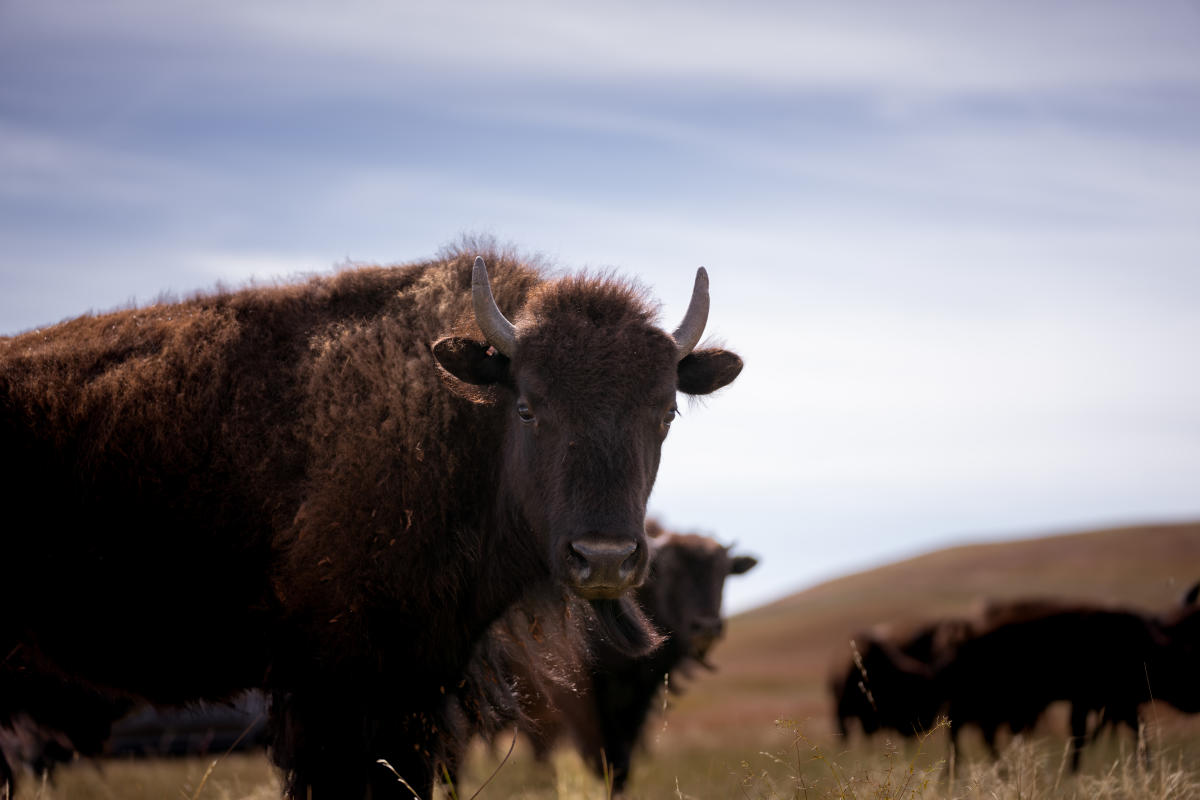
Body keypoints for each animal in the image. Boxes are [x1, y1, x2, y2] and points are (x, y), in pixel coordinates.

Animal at [0, 247, 742, 798]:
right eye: (529, 405)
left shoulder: (414, 696)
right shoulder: (329, 692)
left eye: (666, 411)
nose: (605, 559)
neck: (451, 426)